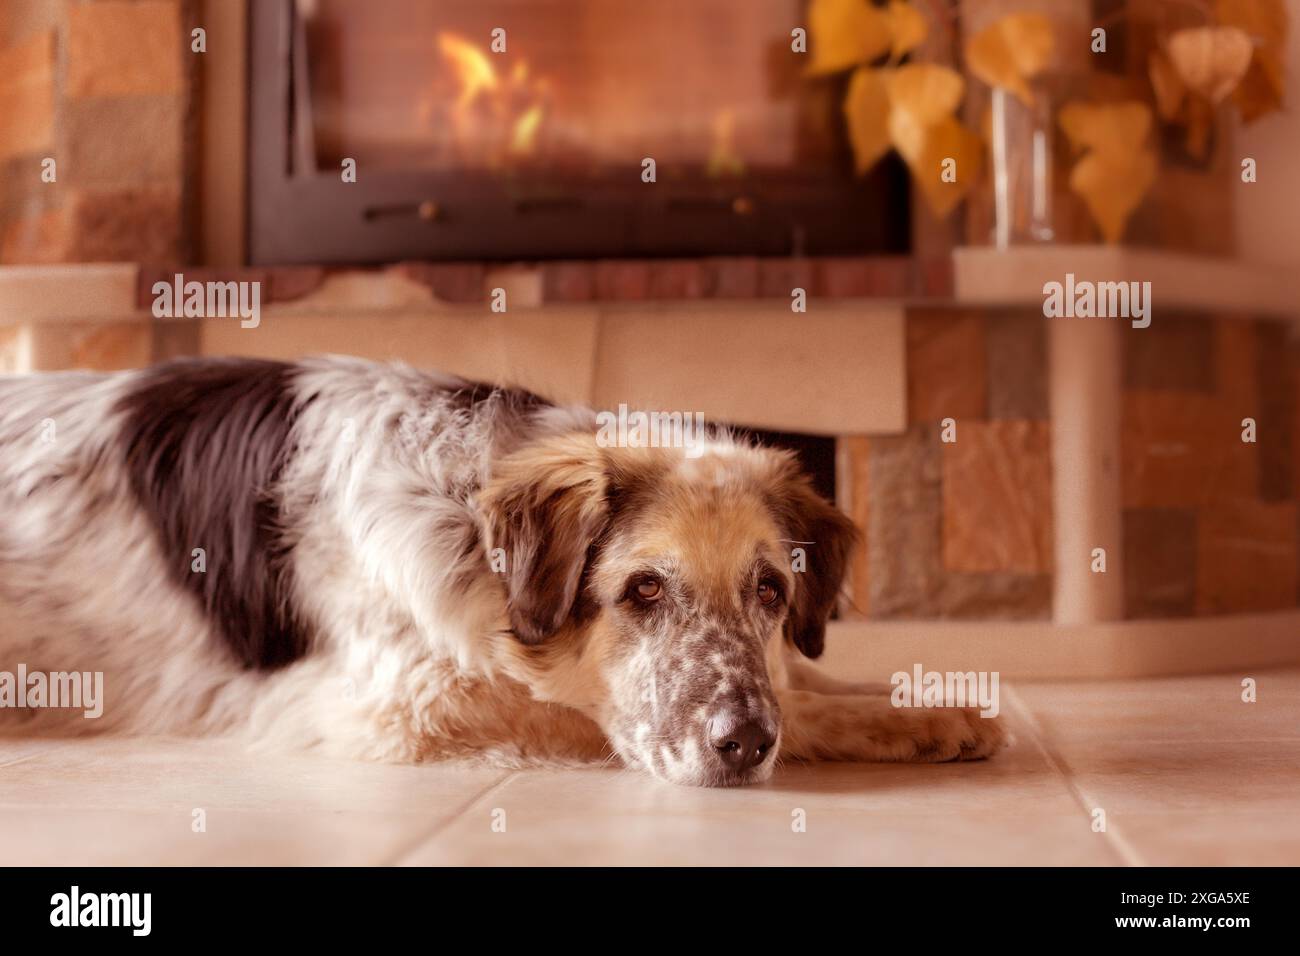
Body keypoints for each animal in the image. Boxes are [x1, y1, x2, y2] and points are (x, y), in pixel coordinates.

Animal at [0, 356, 1003, 785]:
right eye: (643, 589)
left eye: (770, 591)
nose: (744, 746)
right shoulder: (402, 708)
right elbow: (583, 710)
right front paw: (891, 720)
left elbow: (801, 680)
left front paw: (920, 703)